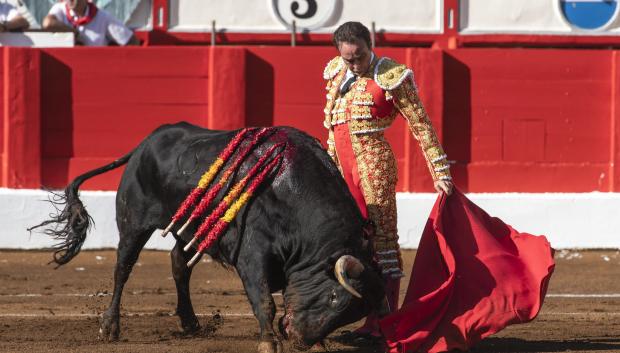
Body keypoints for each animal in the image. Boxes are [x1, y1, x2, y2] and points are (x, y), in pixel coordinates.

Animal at [32, 122, 388, 350]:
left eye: (348, 314)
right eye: (333, 297)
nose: (300, 340)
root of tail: (145, 143)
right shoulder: (252, 254)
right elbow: (264, 301)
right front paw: (268, 343)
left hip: (186, 227)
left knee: (179, 264)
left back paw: (190, 322)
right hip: (133, 222)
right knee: (123, 267)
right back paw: (110, 327)